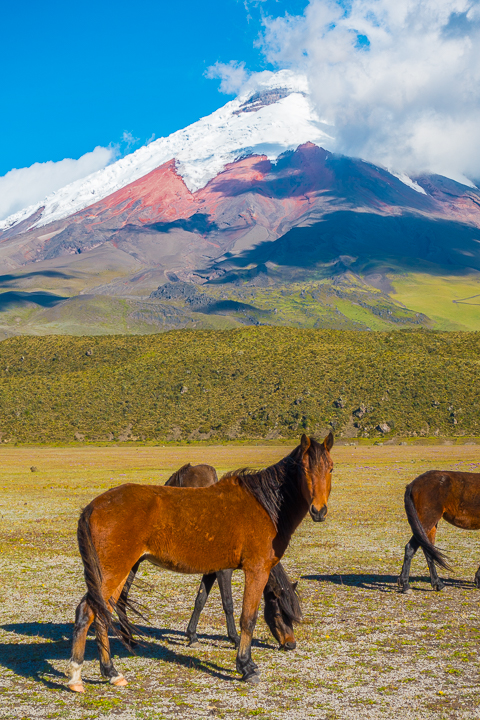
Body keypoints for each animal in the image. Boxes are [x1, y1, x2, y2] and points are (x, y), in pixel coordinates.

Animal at [116, 462, 302, 652]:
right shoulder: (224, 571)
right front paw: (235, 638)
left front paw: (192, 636)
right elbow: (228, 604)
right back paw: (128, 639)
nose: (291, 644)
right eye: (279, 612)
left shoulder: (211, 571)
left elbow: (200, 599)